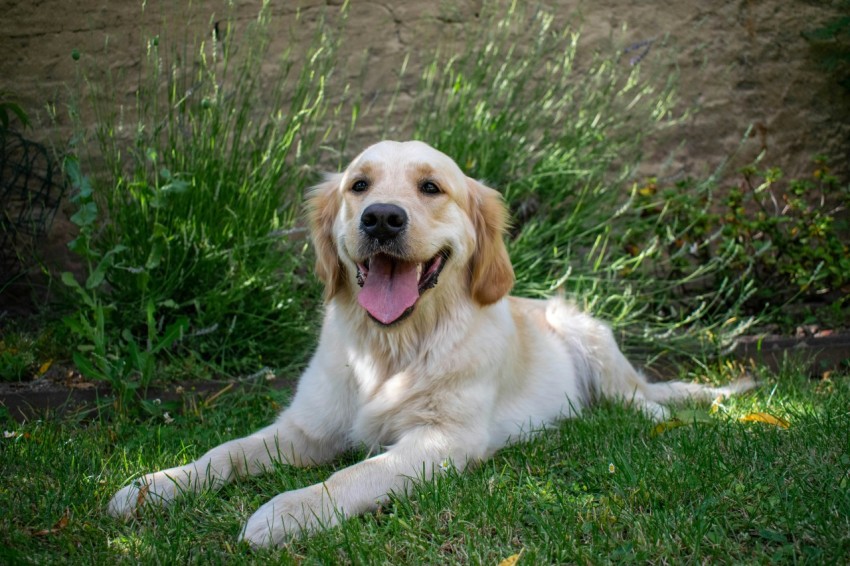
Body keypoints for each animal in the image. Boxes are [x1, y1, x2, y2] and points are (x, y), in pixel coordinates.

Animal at [106, 141, 748, 552]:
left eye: (431, 187)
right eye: (359, 185)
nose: (382, 219)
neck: (390, 347)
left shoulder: (442, 439)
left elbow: (355, 474)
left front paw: (287, 511)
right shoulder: (305, 430)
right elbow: (225, 452)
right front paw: (153, 486)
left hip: (585, 332)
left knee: (640, 397)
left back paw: (656, 419)